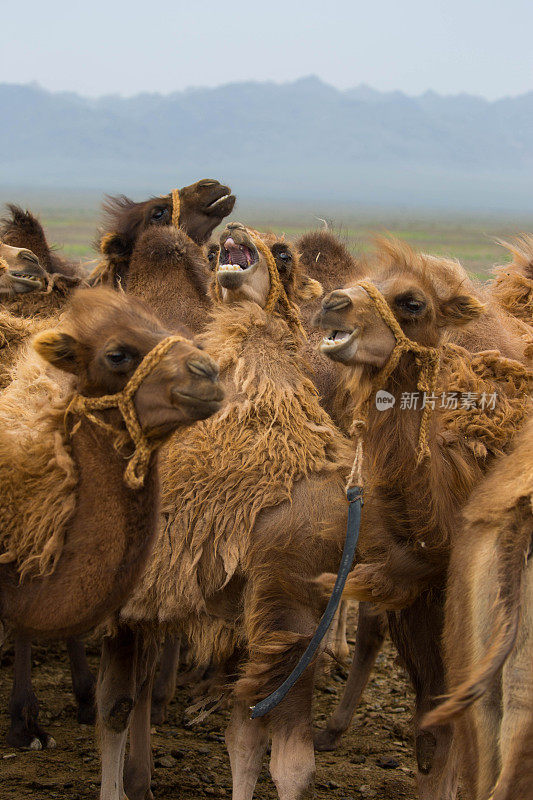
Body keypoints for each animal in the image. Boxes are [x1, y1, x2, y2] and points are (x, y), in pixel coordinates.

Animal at [94, 220, 354, 800]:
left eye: (284, 252)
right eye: (215, 250)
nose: (233, 230)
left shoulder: (280, 610)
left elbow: (271, 752)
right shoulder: (142, 599)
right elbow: (117, 709)